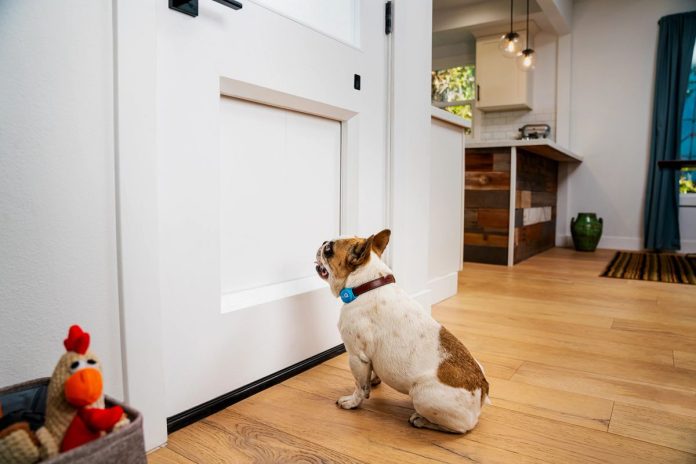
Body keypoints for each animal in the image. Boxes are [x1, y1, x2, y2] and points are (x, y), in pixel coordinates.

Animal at [316, 230, 490, 434]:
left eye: (329, 250)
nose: (323, 243)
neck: (366, 284)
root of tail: (482, 389)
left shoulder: (357, 356)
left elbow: (359, 386)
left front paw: (352, 402)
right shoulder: (368, 359)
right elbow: (369, 376)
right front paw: (373, 381)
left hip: (420, 394)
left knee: (461, 428)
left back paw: (422, 420)